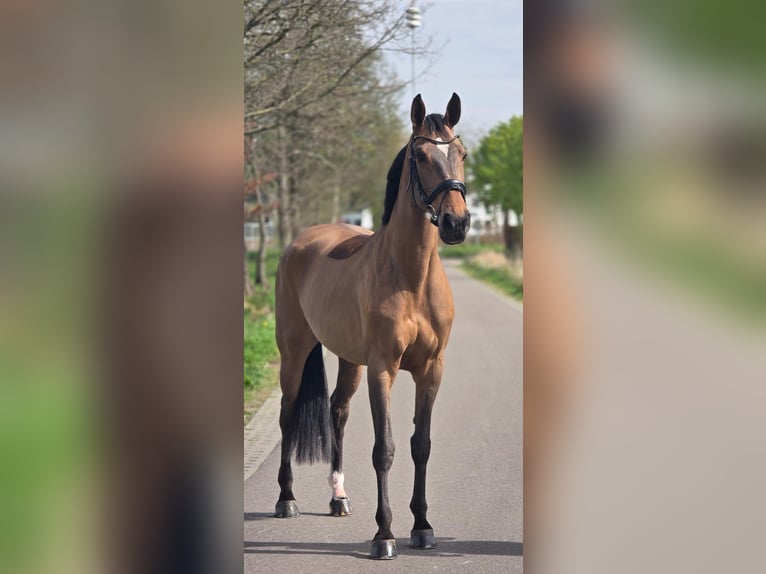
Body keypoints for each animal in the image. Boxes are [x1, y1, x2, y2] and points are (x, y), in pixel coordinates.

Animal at [273, 93, 471, 560]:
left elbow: (421, 445)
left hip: (349, 361)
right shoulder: (384, 369)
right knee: (288, 414)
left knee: (337, 411)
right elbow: (385, 449)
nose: (456, 223)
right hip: (294, 352)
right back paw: (286, 499)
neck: (411, 276)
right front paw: (385, 535)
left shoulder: (431, 370)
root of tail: (297, 244)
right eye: (421, 156)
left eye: (461, 153)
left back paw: (339, 498)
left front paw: (422, 527)